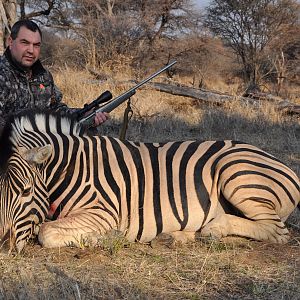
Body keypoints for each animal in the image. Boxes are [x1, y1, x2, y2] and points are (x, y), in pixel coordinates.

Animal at [0, 110, 298, 253]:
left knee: (276, 232)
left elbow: (46, 232)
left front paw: (104, 239)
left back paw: (214, 229)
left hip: (235, 174)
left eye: (25, 191)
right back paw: (176, 237)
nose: (3, 245)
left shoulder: (105, 212)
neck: (73, 168)